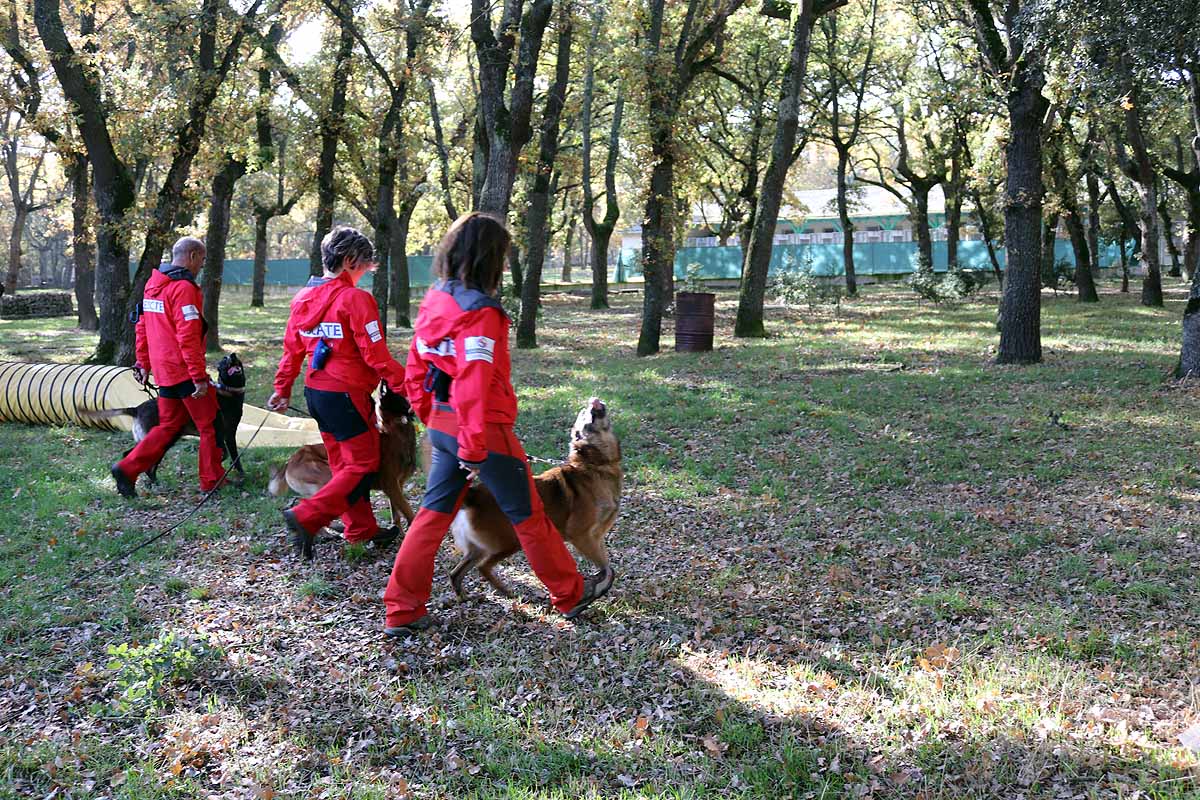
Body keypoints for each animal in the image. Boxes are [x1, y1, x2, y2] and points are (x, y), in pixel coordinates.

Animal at [270, 383, 420, 527]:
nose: (383, 382)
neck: (395, 431)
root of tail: (289, 462)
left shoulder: (396, 486)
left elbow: (396, 516)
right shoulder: (391, 485)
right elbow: (408, 512)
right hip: (328, 477)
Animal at [446, 398, 624, 597]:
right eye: (584, 414)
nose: (591, 401)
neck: (596, 465)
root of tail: (475, 495)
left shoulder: (596, 537)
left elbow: (606, 563)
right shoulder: (581, 535)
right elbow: (606, 567)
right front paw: (599, 584)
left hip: (479, 548)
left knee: (456, 573)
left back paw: (464, 597)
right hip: (509, 542)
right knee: (483, 567)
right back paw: (506, 592)